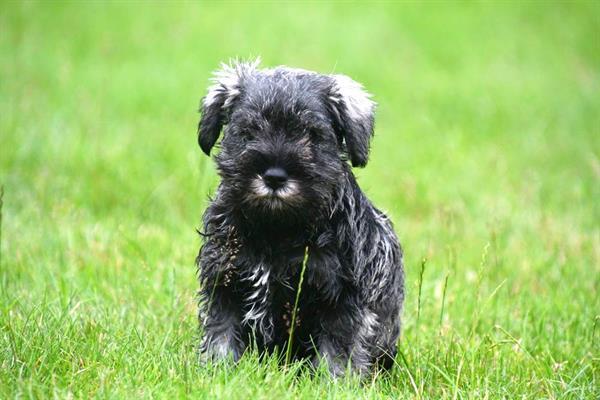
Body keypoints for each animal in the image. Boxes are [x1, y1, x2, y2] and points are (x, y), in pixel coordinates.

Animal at [195, 58, 406, 376]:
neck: (277, 229)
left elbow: (338, 349)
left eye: (311, 135)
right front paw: (217, 371)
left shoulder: (341, 298)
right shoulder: (225, 283)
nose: (274, 176)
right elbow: (221, 335)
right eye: (247, 131)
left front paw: (334, 381)